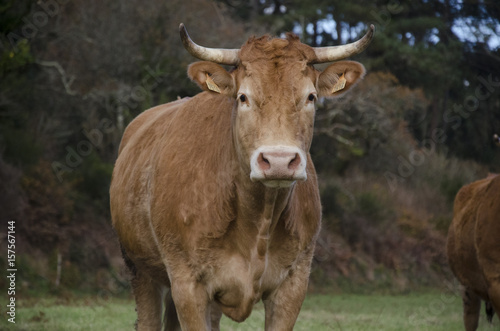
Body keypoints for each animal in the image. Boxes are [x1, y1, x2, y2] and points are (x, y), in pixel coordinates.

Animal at [111, 24, 374, 331]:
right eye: (243, 97)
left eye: (310, 97)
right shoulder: (187, 283)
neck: (257, 220)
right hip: (140, 269)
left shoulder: (294, 283)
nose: (278, 161)